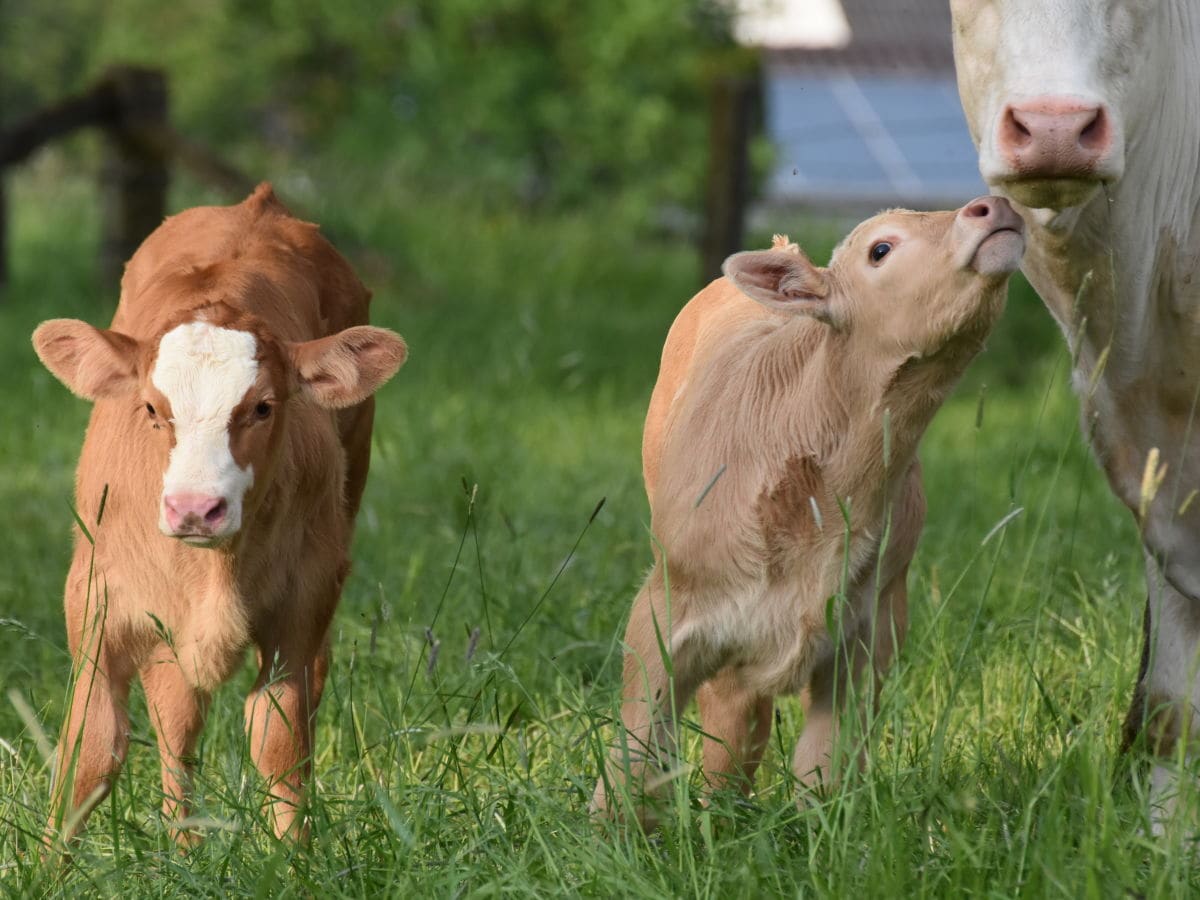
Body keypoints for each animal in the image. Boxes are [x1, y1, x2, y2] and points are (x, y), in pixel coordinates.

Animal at [590, 195, 1022, 825]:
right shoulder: (662, 610)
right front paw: (614, 834)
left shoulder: (867, 630)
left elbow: (823, 765)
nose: (993, 204)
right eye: (880, 248)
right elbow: (637, 750)